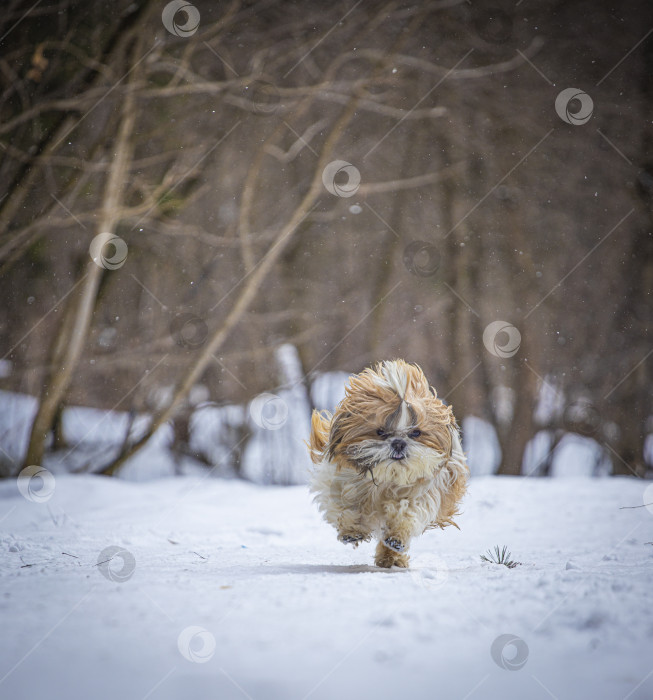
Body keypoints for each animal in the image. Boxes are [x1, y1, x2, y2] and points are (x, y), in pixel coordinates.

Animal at [308, 360, 466, 568]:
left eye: (416, 433)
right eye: (380, 432)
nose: (398, 442)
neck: (387, 477)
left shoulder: (426, 492)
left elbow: (408, 511)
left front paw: (397, 537)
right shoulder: (338, 481)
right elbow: (346, 506)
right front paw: (351, 530)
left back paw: (391, 555)